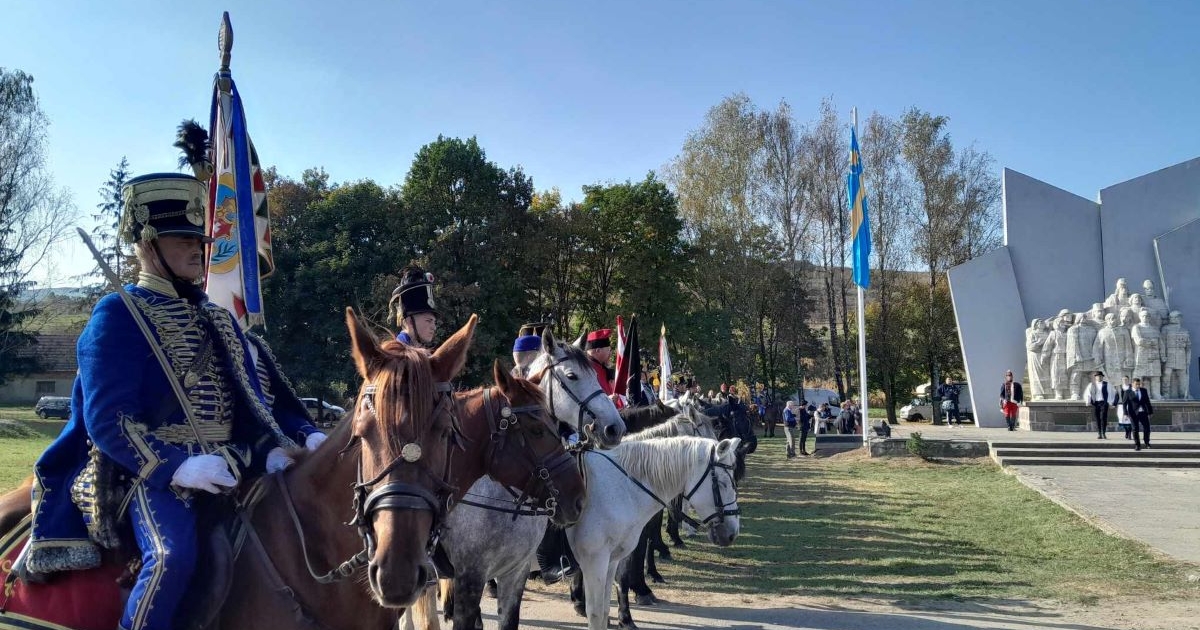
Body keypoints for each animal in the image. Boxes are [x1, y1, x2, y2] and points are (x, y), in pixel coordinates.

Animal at [568, 434, 739, 628]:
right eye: (723, 483)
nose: (732, 533)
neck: (621, 488)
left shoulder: (610, 561)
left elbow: (604, 610)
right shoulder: (594, 561)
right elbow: (596, 613)